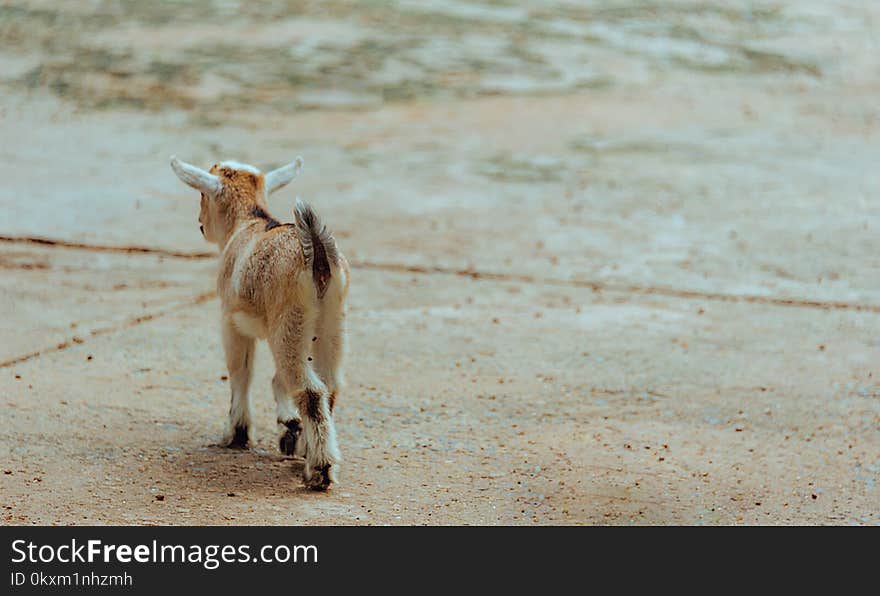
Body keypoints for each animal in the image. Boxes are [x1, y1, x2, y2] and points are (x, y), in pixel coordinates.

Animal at [168, 155, 348, 488]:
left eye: (202, 195)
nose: (200, 224)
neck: (250, 221)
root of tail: (316, 254)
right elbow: (276, 379)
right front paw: (289, 429)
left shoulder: (230, 321)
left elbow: (241, 371)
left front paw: (237, 433)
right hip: (330, 325)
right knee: (328, 385)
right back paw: (310, 453)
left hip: (290, 324)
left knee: (309, 390)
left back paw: (320, 470)